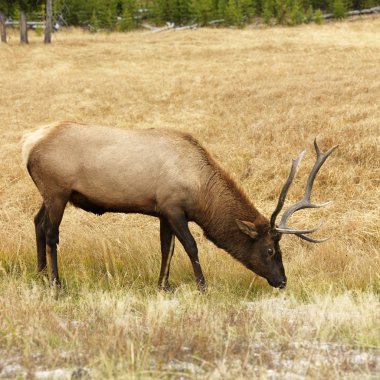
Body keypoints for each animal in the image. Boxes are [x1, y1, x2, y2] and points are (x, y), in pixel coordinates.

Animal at [22, 121, 336, 290]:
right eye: (271, 250)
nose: (282, 280)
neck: (200, 192)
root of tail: (27, 143)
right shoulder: (174, 207)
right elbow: (191, 247)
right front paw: (203, 286)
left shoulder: (162, 210)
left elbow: (166, 248)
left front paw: (163, 284)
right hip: (57, 190)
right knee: (51, 233)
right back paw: (56, 283)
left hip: (49, 194)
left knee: (37, 222)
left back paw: (39, 273)